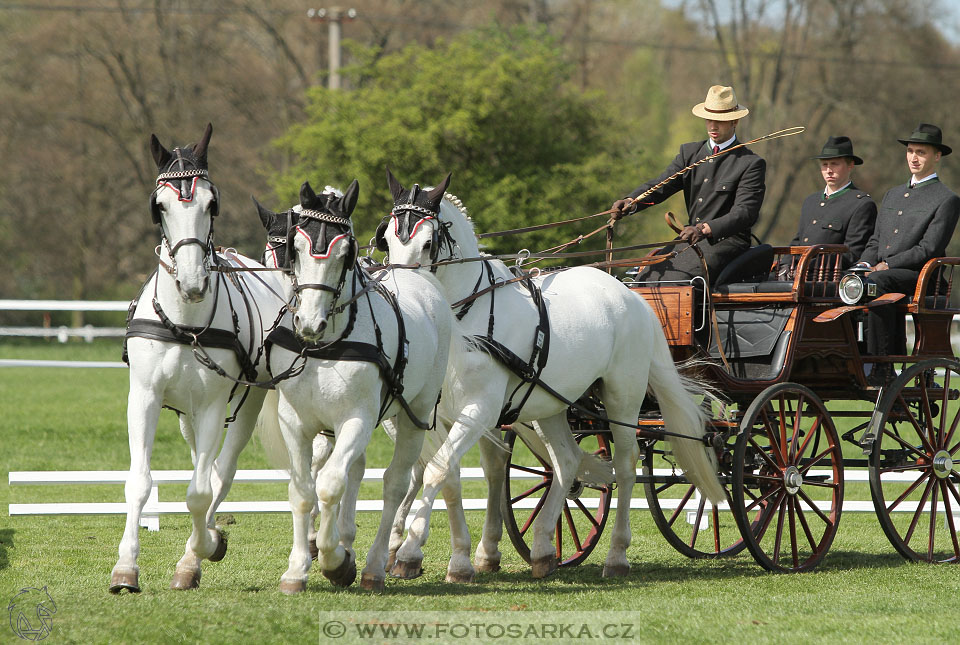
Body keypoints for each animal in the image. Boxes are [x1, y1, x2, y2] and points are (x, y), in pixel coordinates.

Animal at [110, 123, 284, 592]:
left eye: (212, 203)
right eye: (160, 206)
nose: (192, 282)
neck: (183, 323)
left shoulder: (211, 407)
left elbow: (200, 491)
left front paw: (201, 551)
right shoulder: (144, 398)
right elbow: (139, 482)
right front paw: (125, 568)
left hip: (245, 404)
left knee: (220, 472)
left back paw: (202, 545)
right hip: (185, 412)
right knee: (200, 465)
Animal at [256, 179, 456, 592]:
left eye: (345, 252)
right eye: (296, 249)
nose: (308, 323)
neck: (327, 344)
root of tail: (418, 276)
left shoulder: (356, 420)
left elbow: (331, 484)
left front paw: (336, 561)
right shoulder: (296, 423)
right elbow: (303, 491)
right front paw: (298, 568)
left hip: (414, 415)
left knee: (397, 482)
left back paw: (378, 563)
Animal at [378, 170, 724, 580]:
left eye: (428, 242)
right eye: (386, 239)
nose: (400, 293)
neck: (464, 320)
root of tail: (630, 296)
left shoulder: (478, 411)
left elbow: (435, 471)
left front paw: (412, 552)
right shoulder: (438, 414)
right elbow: (445, 475)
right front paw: (445, 555)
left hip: (622, 398)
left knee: (624, 468)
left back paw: (616, 556)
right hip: (551, 405)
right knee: (567, 463)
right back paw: (544, 549)